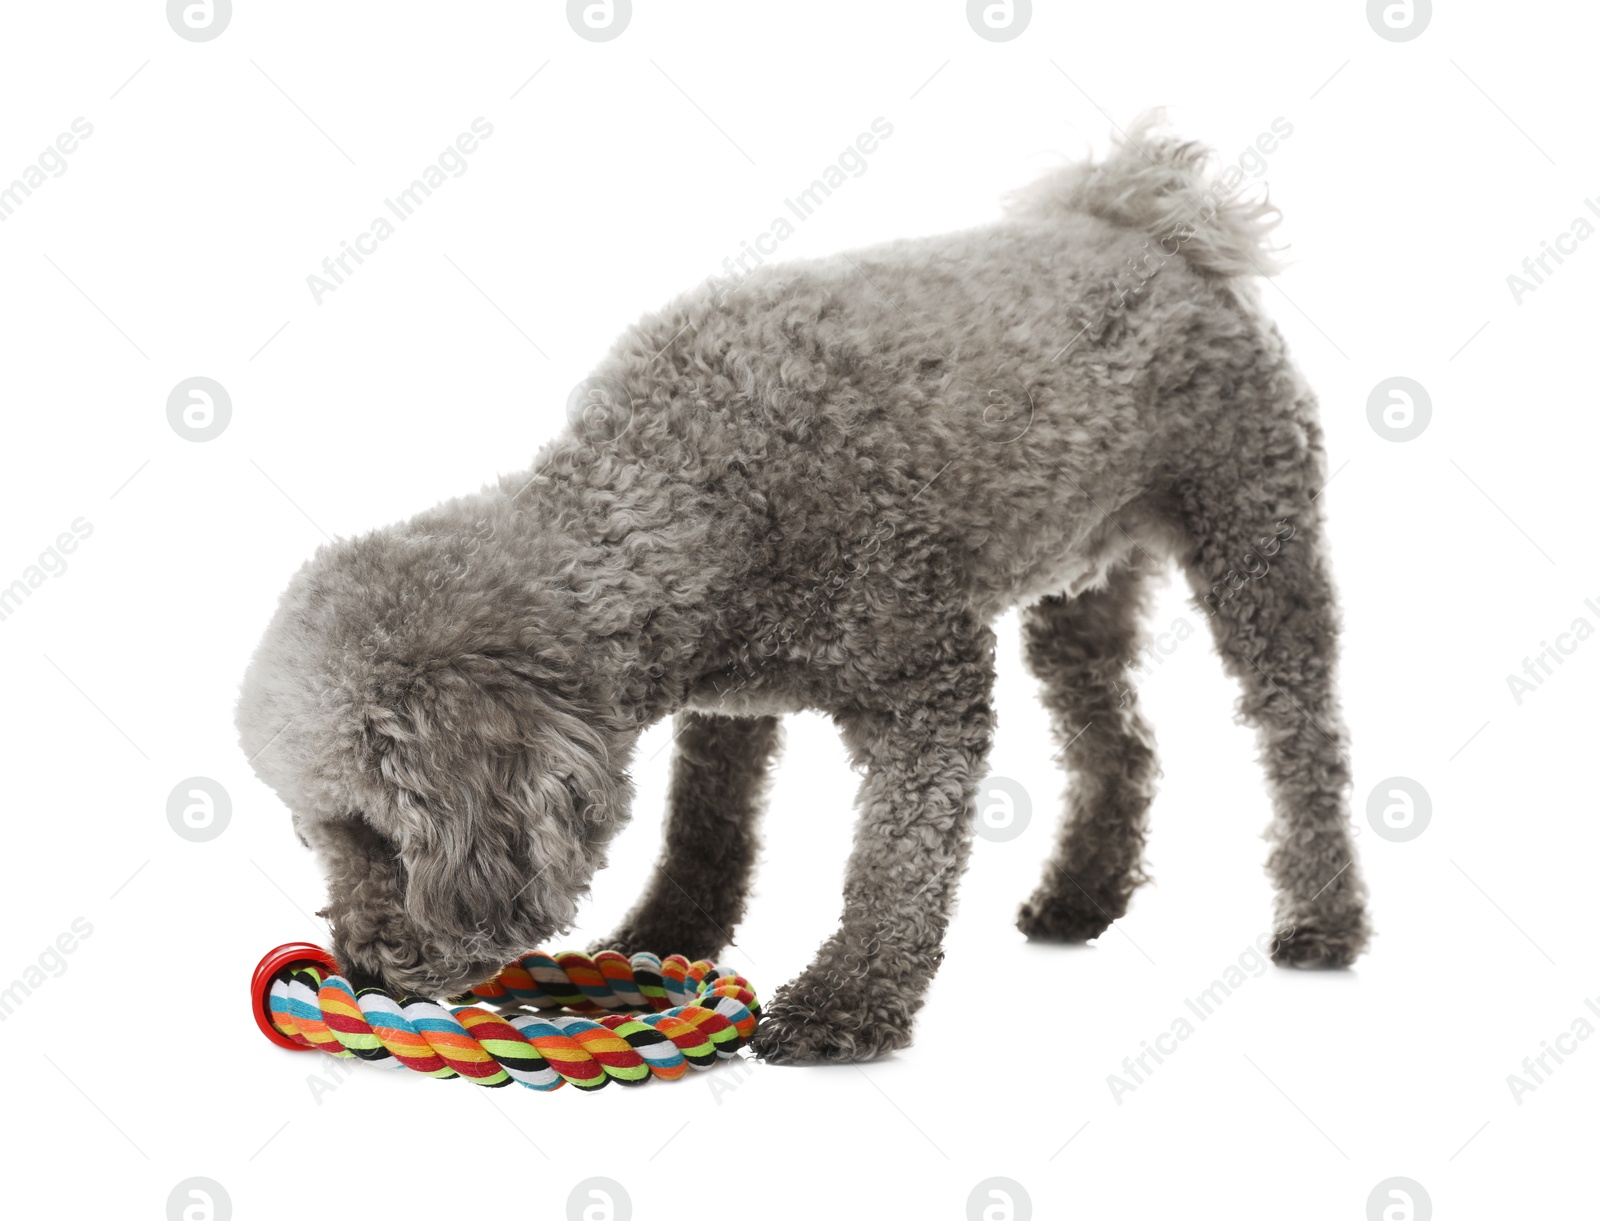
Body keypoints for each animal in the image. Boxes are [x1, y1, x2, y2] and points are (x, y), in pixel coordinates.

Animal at [236, 119, 1376, 1062]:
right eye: (321, 833)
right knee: (1118, 740)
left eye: (379, 834)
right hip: (1082, 588)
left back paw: (1323, 917)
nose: (366, 967)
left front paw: (850, 1001)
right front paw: (664, 933)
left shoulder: (929, 682)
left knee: (1301, 739)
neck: (681, 486)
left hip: (1254, 538)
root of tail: (1154, 229)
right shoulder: (729, 703)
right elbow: (706, 825)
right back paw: (1080, 895)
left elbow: (898, 859)